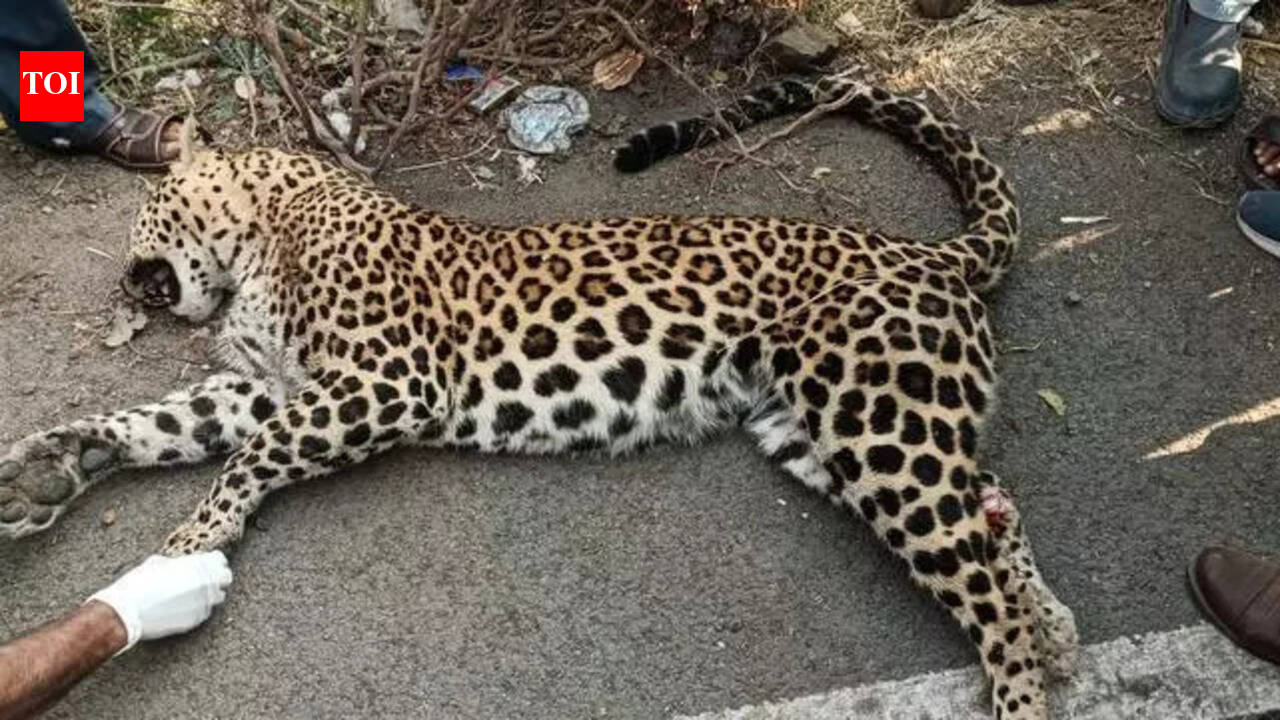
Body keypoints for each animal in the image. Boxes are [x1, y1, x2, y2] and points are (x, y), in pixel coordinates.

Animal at [0, 75, 1077, 720]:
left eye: (145, 214)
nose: (126, 283)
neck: (271, 224)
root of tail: (925, 252)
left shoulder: (384, 380)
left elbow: (244, 461)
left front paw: (184, 547)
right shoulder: (277, 385)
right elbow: (164, 424)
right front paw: (51, 469)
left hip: (879, 429)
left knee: (985, 595)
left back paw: (1032, 666)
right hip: (819, 430)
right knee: (992, 504)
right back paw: (1061, 629)